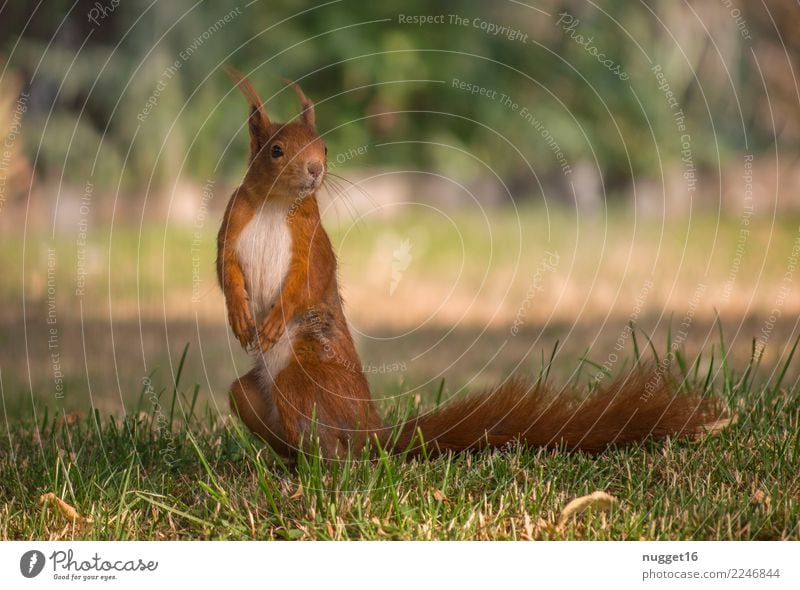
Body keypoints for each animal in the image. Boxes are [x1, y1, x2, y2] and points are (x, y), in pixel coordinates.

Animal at [217, 67, 720, 460]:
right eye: (276, 151)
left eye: (323, 146)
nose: (316, 170)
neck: (275, 205)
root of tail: (373, 433)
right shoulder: (232, 228)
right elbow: (227, 274)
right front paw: (241, 318)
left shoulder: (311, 242)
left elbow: (306, 281)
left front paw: (270, 322)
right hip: (250, 396)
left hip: (304, 376)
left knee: (337, 449)